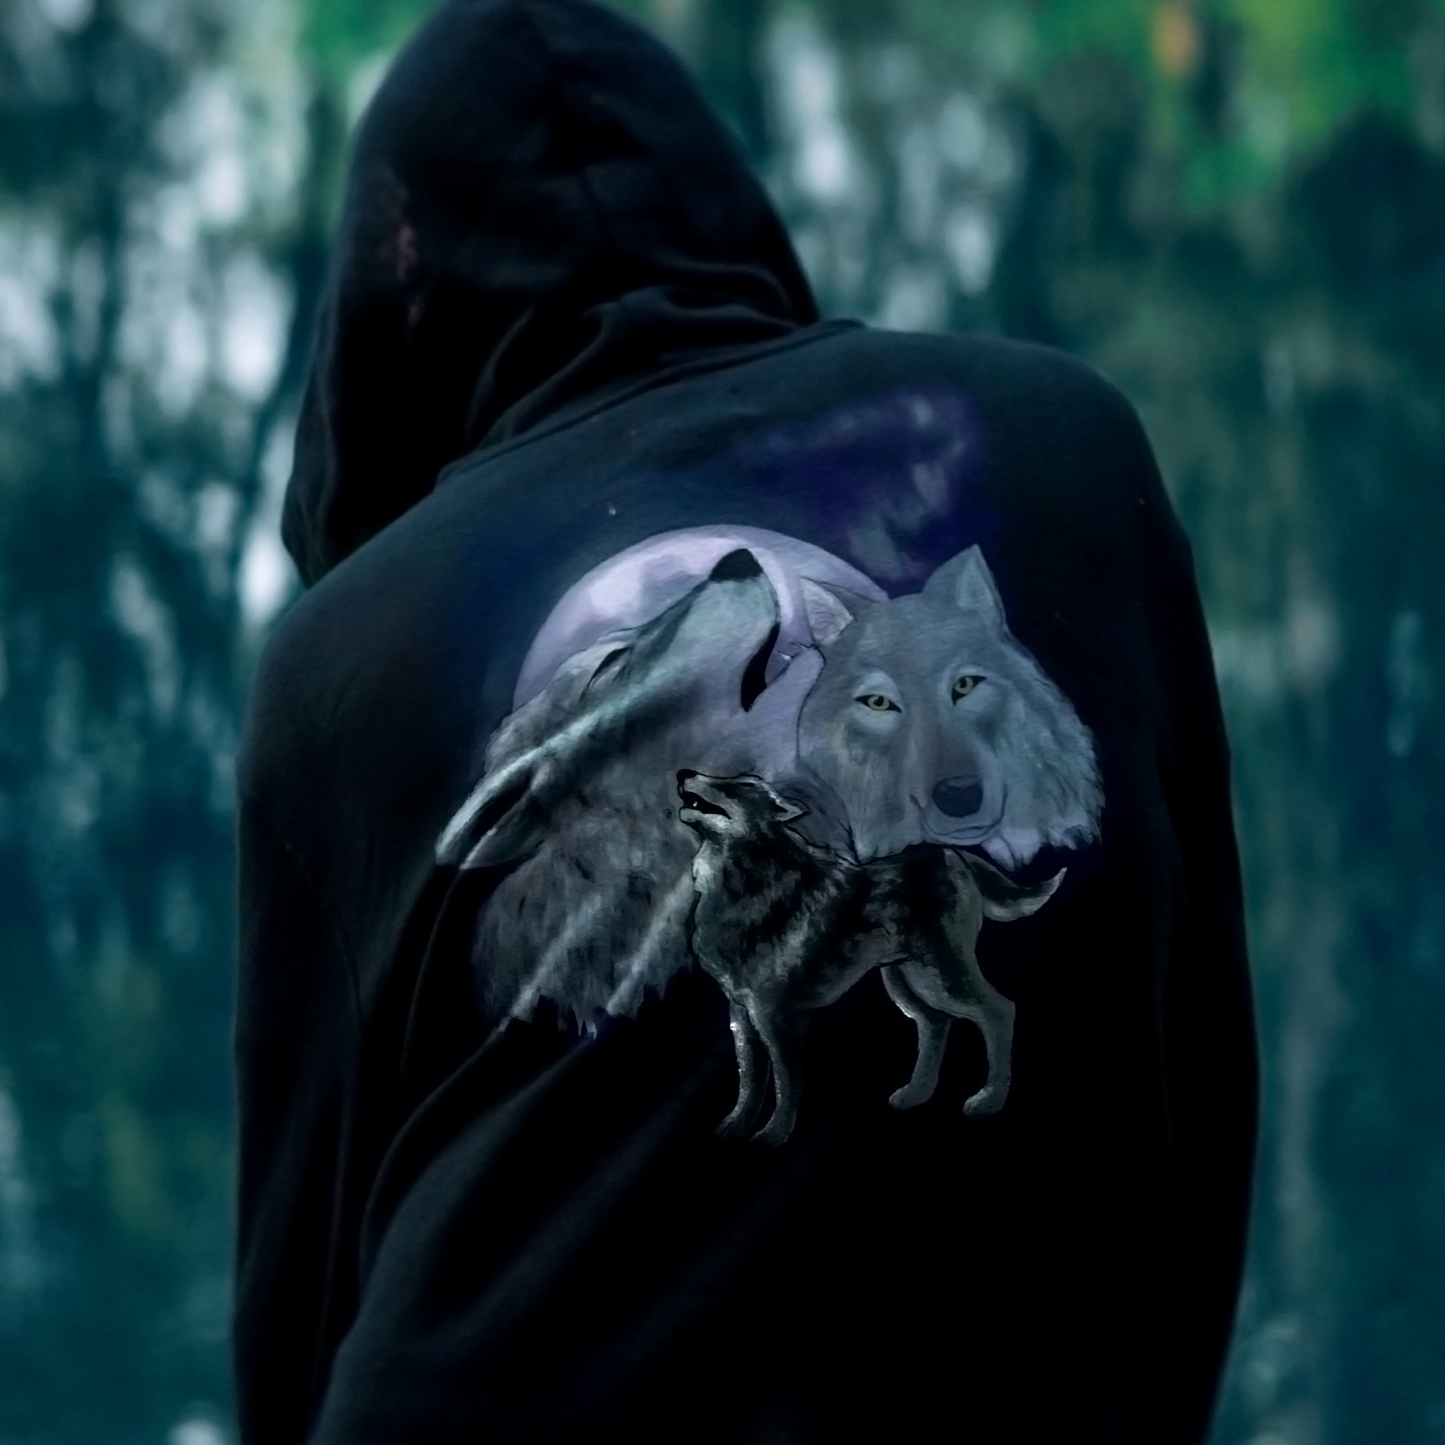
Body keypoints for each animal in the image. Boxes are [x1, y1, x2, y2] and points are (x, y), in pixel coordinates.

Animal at [677, 769, 1062, 1147]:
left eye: (740, 785)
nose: (683, 773)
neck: (745, 884)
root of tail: (953, 855)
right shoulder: (742, 1014)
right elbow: (750, 1080)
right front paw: (736, 1126)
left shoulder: (777, 1015)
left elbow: (786, 1086)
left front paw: (773, 1136)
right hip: (907, 980)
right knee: (936, 1023)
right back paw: (916, 1094)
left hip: (942, 977)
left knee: (999, 1011)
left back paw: (989, 1100)